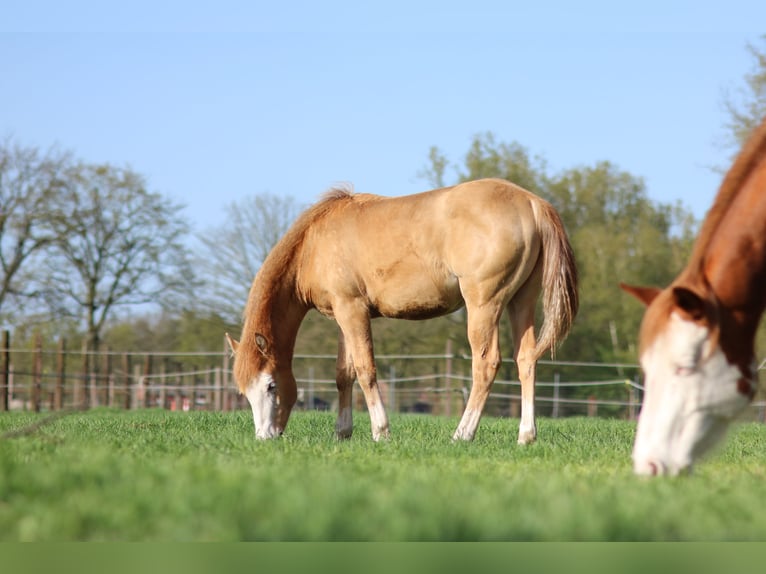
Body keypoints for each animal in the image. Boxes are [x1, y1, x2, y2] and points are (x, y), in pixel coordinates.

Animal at [228, 180, 584, 446]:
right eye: (244, 392)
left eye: (271, 386)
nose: (265, 437)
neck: (314, 243)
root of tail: (532, 203)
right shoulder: (343, 317)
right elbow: (344, 374)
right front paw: (342, 432)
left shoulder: (352, 310)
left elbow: (366, 371)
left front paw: (381, 432)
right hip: (521, 302)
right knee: (526, 360)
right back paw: (526, 436)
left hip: (484, 305)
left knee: (486, 365)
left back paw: (462, 433)